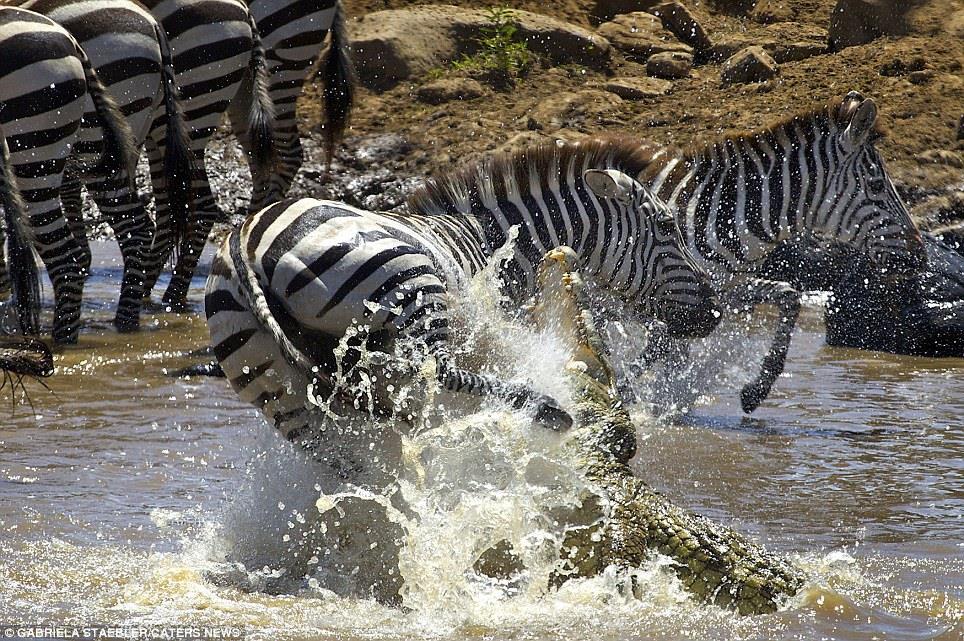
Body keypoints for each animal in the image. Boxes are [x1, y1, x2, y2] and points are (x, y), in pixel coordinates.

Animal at [0, 6, 139, 344]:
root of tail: (70, 40)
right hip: (91, 147)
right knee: (134, 227)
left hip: (33, 147)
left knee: (67, 260)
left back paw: (63, 342)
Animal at [207, 139, 724, 458]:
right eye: (667, 227)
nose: (715, 313)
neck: (501, 240)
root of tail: (245, 242)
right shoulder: (493, 322)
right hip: (414, 289)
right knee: (433, 371)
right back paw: (545, 407)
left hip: (274, 386)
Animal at [640, 91, 928, 410]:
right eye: (876, 185)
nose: (921, 257)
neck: (718, 218)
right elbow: (655, 351)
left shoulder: (724, 292)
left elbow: (790, 297)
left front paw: (756, 389)